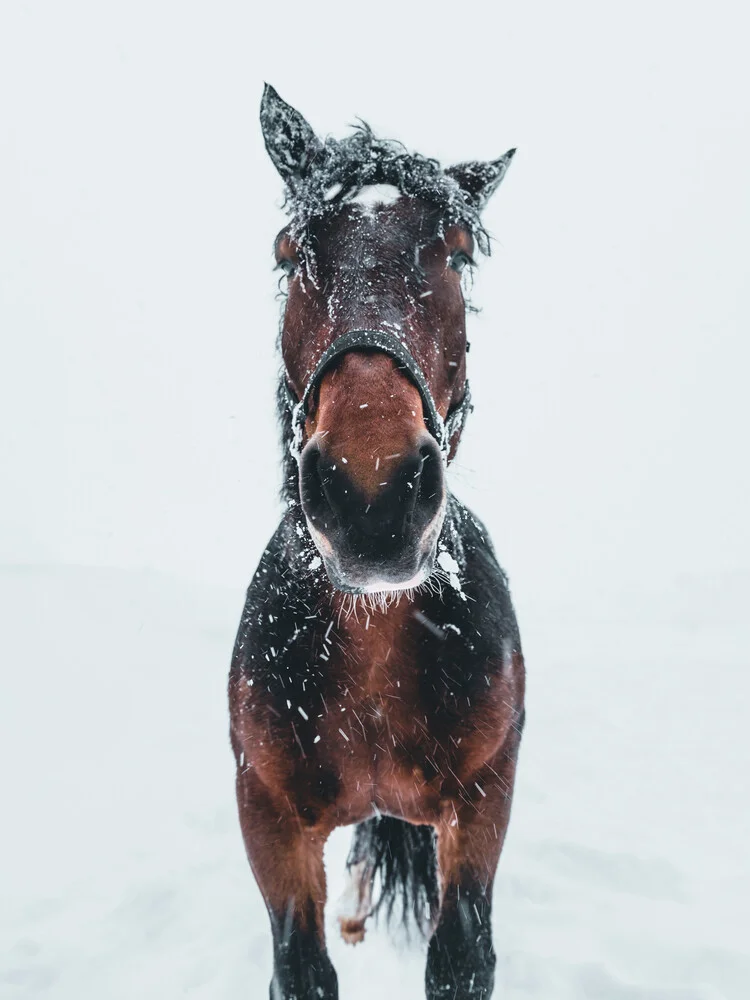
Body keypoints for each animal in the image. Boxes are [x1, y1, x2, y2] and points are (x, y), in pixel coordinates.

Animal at [229, 86, 528, 1000]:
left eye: (457, 256)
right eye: (291, 252)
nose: (373, 494)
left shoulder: (483, 801)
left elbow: (461, 954)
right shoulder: (269, 819)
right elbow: (301, 964)